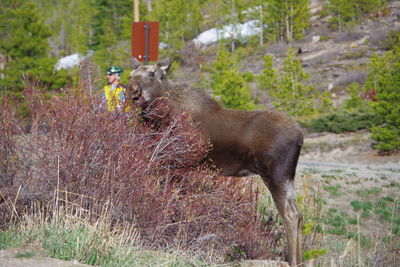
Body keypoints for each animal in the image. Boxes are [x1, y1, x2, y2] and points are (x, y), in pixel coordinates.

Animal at [126, 58, 304, 266]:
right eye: (131, 75)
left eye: (152, 74)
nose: (133, 91)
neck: (162, 117)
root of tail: (300, 137)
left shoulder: (177, 164)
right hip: (287, 177)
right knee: (298, 213)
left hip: (274, 174)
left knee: (290, 214)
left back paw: (293, 260)